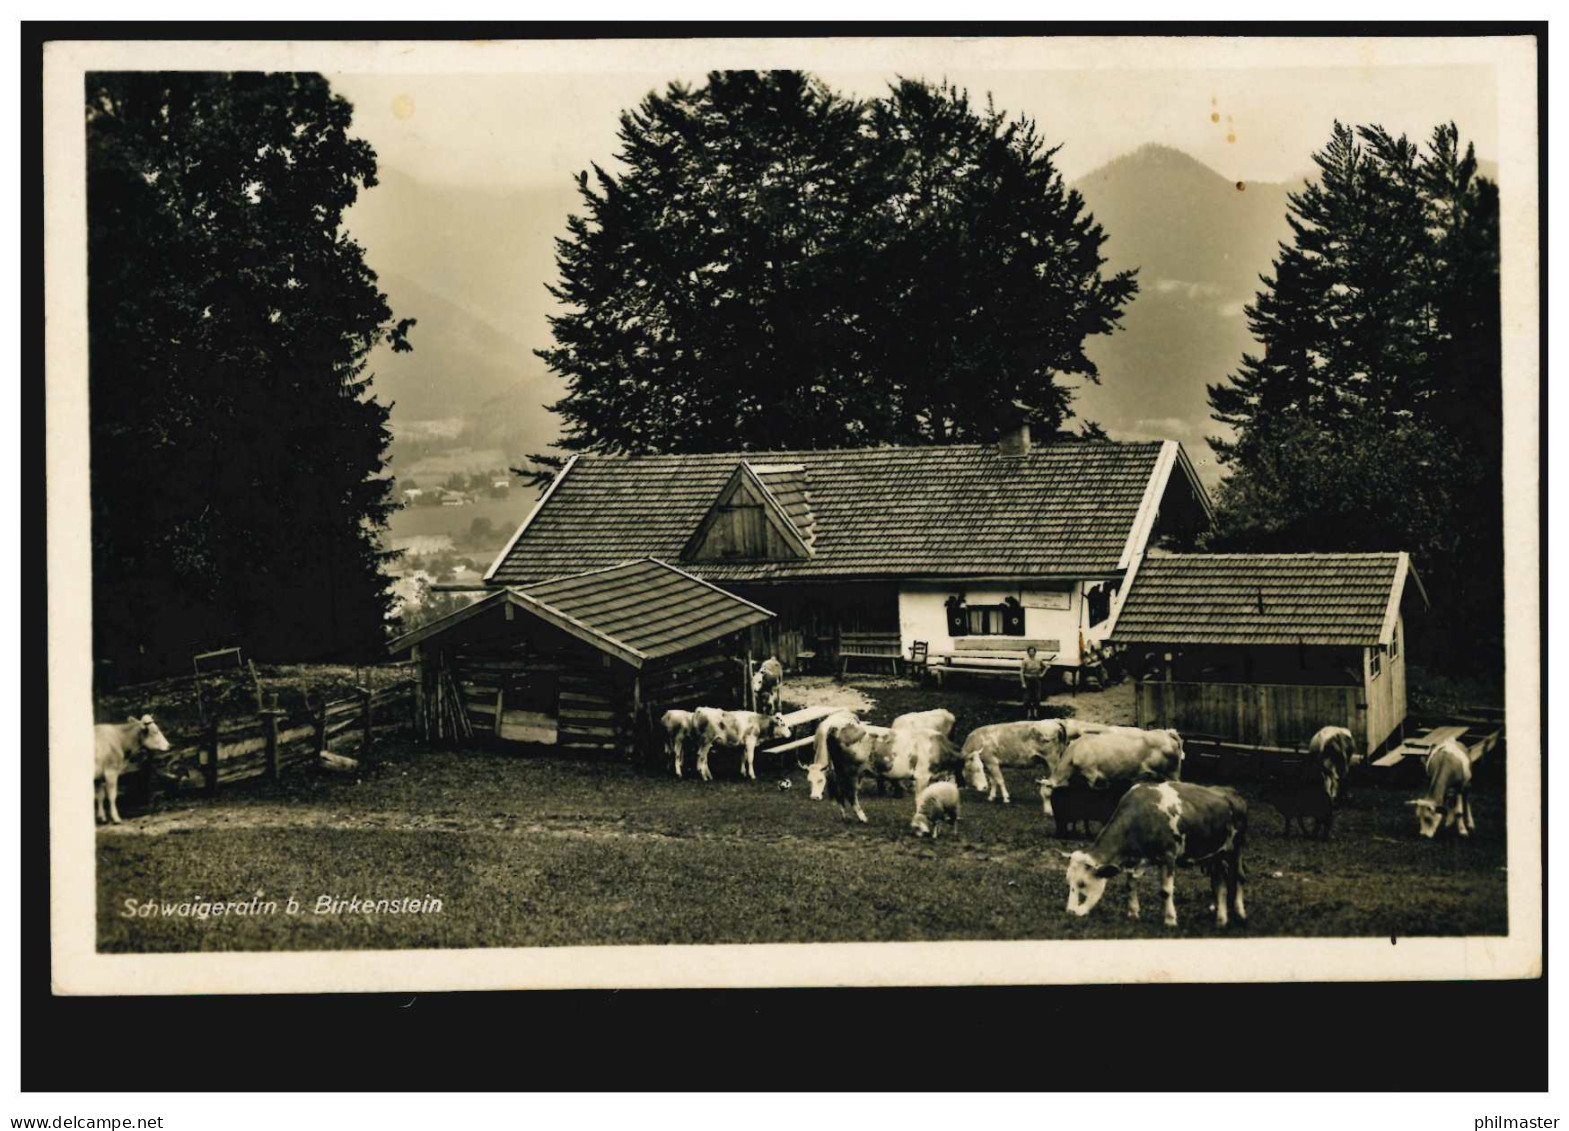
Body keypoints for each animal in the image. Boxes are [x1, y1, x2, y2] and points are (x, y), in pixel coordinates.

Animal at [1035, 727, 1179, 815]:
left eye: (1048, 796)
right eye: (1041, 796)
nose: (1047, 813)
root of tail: (1166, 733)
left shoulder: (1091, 774)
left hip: (1170, 773)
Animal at [1054, 781, 1248, 928]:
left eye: (1082, 883)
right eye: (1068, 881)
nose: (1070, 912)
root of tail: (1231, 791)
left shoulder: (1169, 856)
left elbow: (1166, 890)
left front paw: (1170, 920)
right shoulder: (1133, 860)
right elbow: (1130, 885)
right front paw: (1133, 912)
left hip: (1236, 848)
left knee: (1239, 876)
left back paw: (1240, 912)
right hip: (1215, 855)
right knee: (1219, 883)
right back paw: (1220, 918)